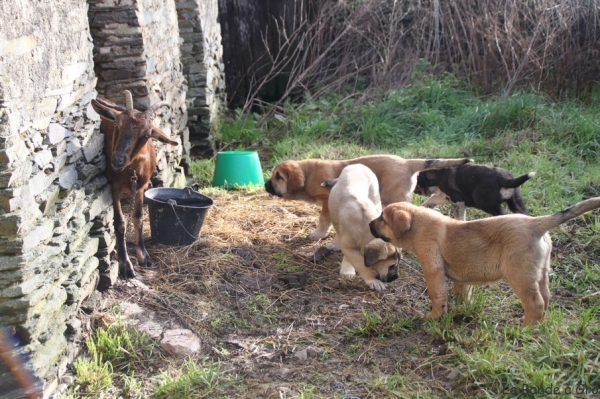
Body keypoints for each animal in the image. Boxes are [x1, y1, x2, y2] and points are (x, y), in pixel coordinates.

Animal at [90, 90, 177, 278]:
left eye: (146, 135)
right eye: (117, 125)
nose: (117, 160)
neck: (132, 171)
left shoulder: (140, 188)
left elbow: (138, 217)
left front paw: (143, 256)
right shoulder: (113, 188)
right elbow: (120, 223)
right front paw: (125, 265)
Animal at [264, 155, 472, 239]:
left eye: (278, 177)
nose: (265, 185)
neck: (308, 176)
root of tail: (407, 162)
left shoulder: (326, 201)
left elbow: (323, 220)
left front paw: (317, 235)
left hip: (395, 196)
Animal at [326, 164, 400, 292]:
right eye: (391, 265)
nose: (396, 277)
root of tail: (358, 165)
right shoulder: (349, 247)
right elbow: (361, 264)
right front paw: (372, 280)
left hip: (376, 199)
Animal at [368, 197, 600, 324]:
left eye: (382, 219)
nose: (370, 224)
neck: (419, 226)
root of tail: (536, 223)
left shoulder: (433, 270)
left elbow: (437, 296)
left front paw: (434, 316)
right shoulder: (459, 276)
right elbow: (461, 293)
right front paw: (461, 308)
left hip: (520, 276)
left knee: (535, 303)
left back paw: (526, 328)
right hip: (540, 273)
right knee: (546, 298)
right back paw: (538, 323)